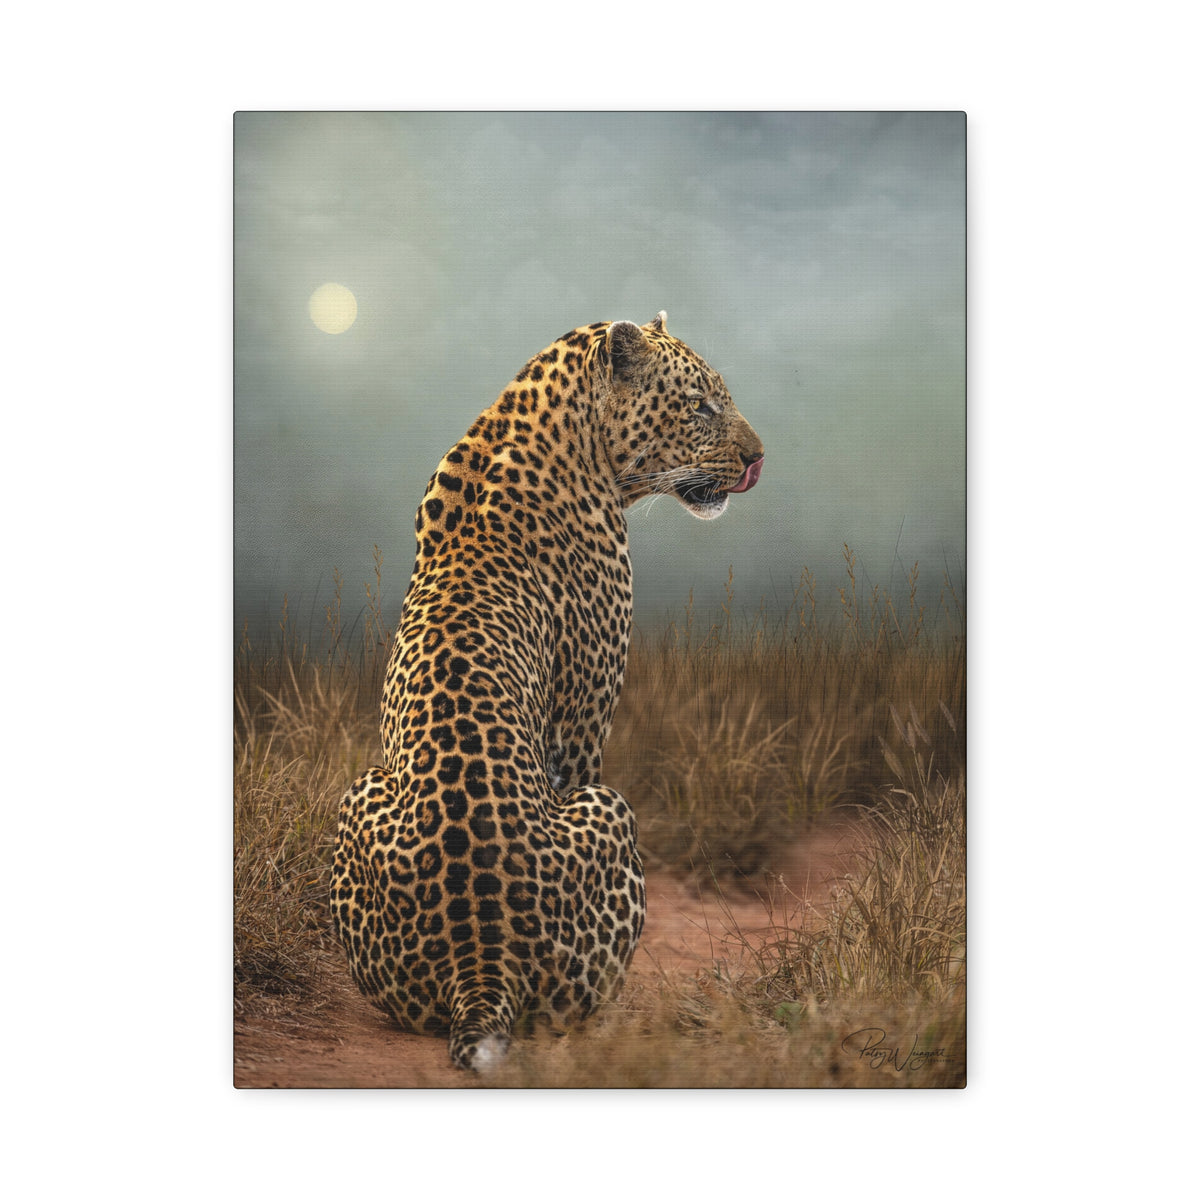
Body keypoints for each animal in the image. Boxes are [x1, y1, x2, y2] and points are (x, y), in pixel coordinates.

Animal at [329, 312, 764, 1070]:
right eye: (700, 405)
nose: (759, 459)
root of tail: (481, 962)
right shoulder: (585, 720)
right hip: (610, 809)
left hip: (358, 793)